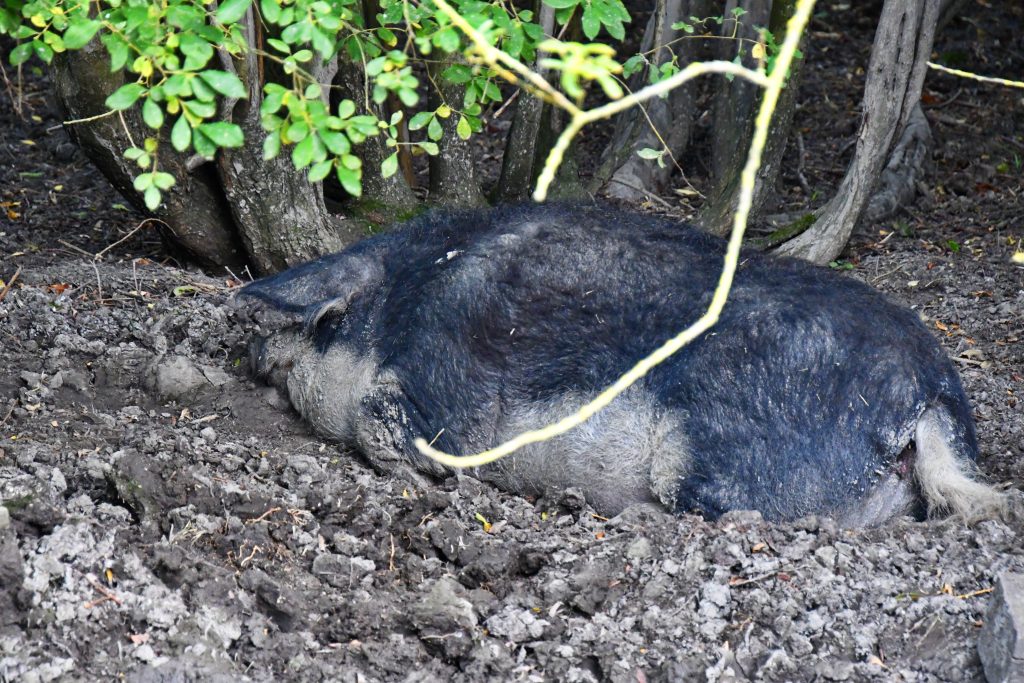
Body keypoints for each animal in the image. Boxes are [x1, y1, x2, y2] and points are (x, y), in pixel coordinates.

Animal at [235, 200, 1003, 528]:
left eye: (317, 329)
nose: (252, 350)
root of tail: (928, 398)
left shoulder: (443, 376)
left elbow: (384, 419)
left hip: (719, 455)